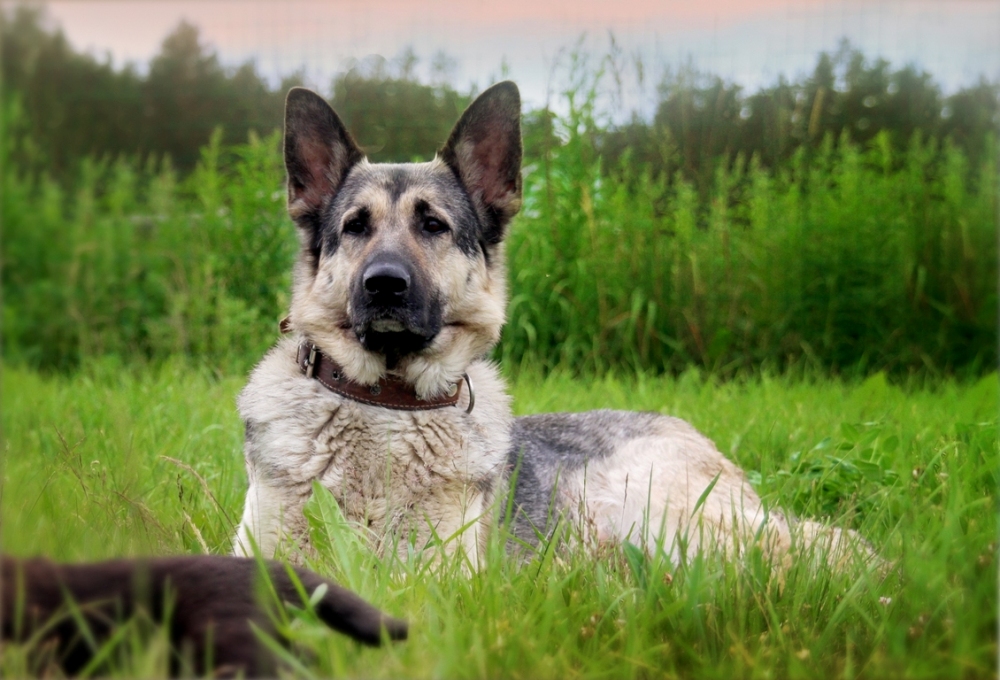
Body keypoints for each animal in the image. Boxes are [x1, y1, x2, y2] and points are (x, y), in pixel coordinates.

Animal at [234, 82, 876, 572]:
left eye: (433, 225)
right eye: (355, 227)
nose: (384, 284)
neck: (386, 404)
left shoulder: (441, 574)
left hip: (650, 513)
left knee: (817, 547)